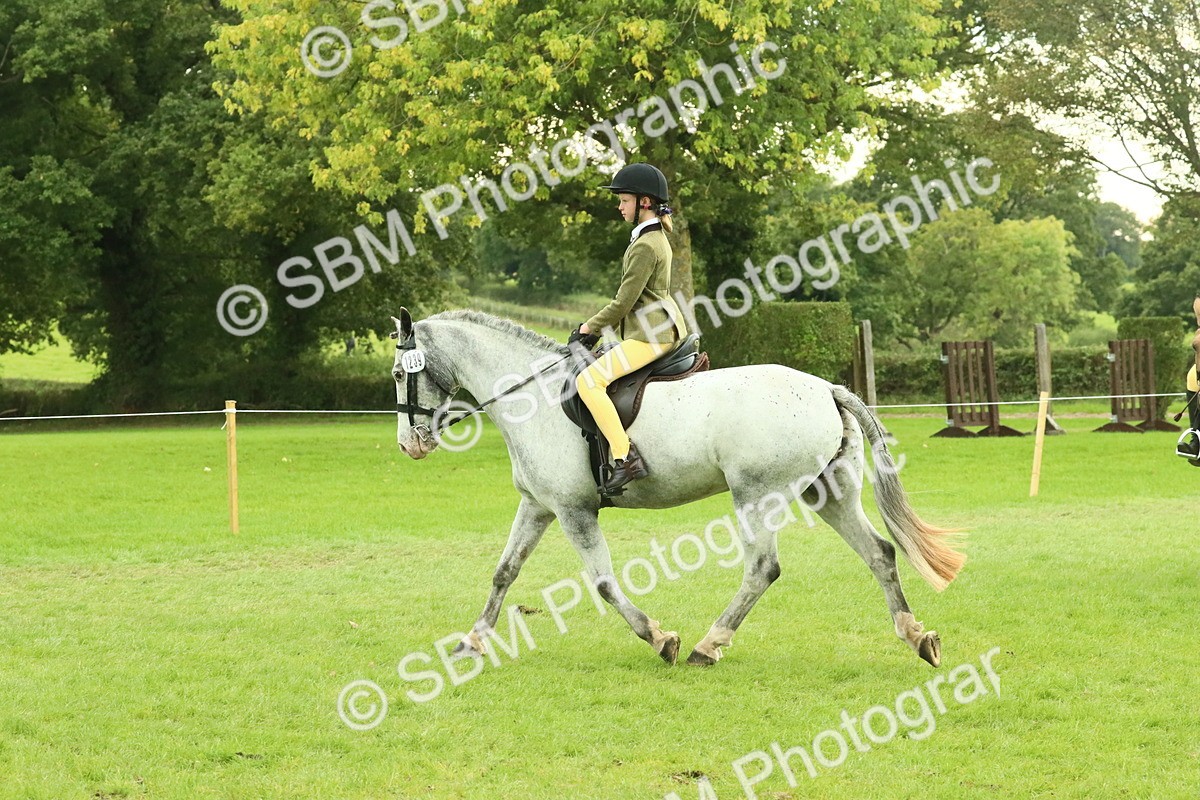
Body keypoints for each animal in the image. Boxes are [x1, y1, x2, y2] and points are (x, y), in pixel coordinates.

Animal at [390, 308, 965, 668]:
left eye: (399, 374)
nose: (409, 445)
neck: (534, 398)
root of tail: (825, 387)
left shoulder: (574, 510)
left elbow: (603, 583)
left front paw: (660, 638)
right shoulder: (539, 505)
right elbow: (503, 572)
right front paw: (471, 642)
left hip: (757, 495)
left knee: (763, 567)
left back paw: (708, 646)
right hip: (829, 491)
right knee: (880, 552)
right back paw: (918, 637)